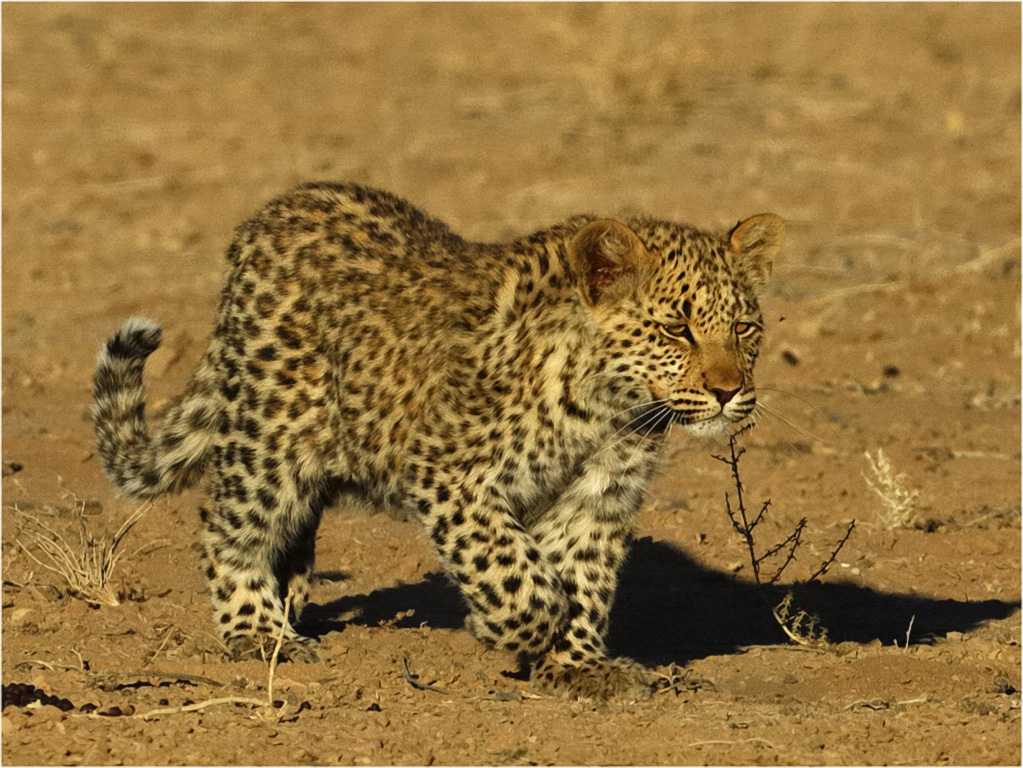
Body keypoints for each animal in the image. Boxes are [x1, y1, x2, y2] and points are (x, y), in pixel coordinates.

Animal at [91, 181, 783, 701]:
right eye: (677, 329)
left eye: (745, 328)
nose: (729, 392)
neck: (606, 405)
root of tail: (268, 215)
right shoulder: (450, 473)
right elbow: (515, 572)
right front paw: (511, 632)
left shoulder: (599, 495)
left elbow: (583, 580)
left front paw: (576, 666)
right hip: (271, 433)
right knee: (226, 527)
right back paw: (260, 634)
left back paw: (289, 608)